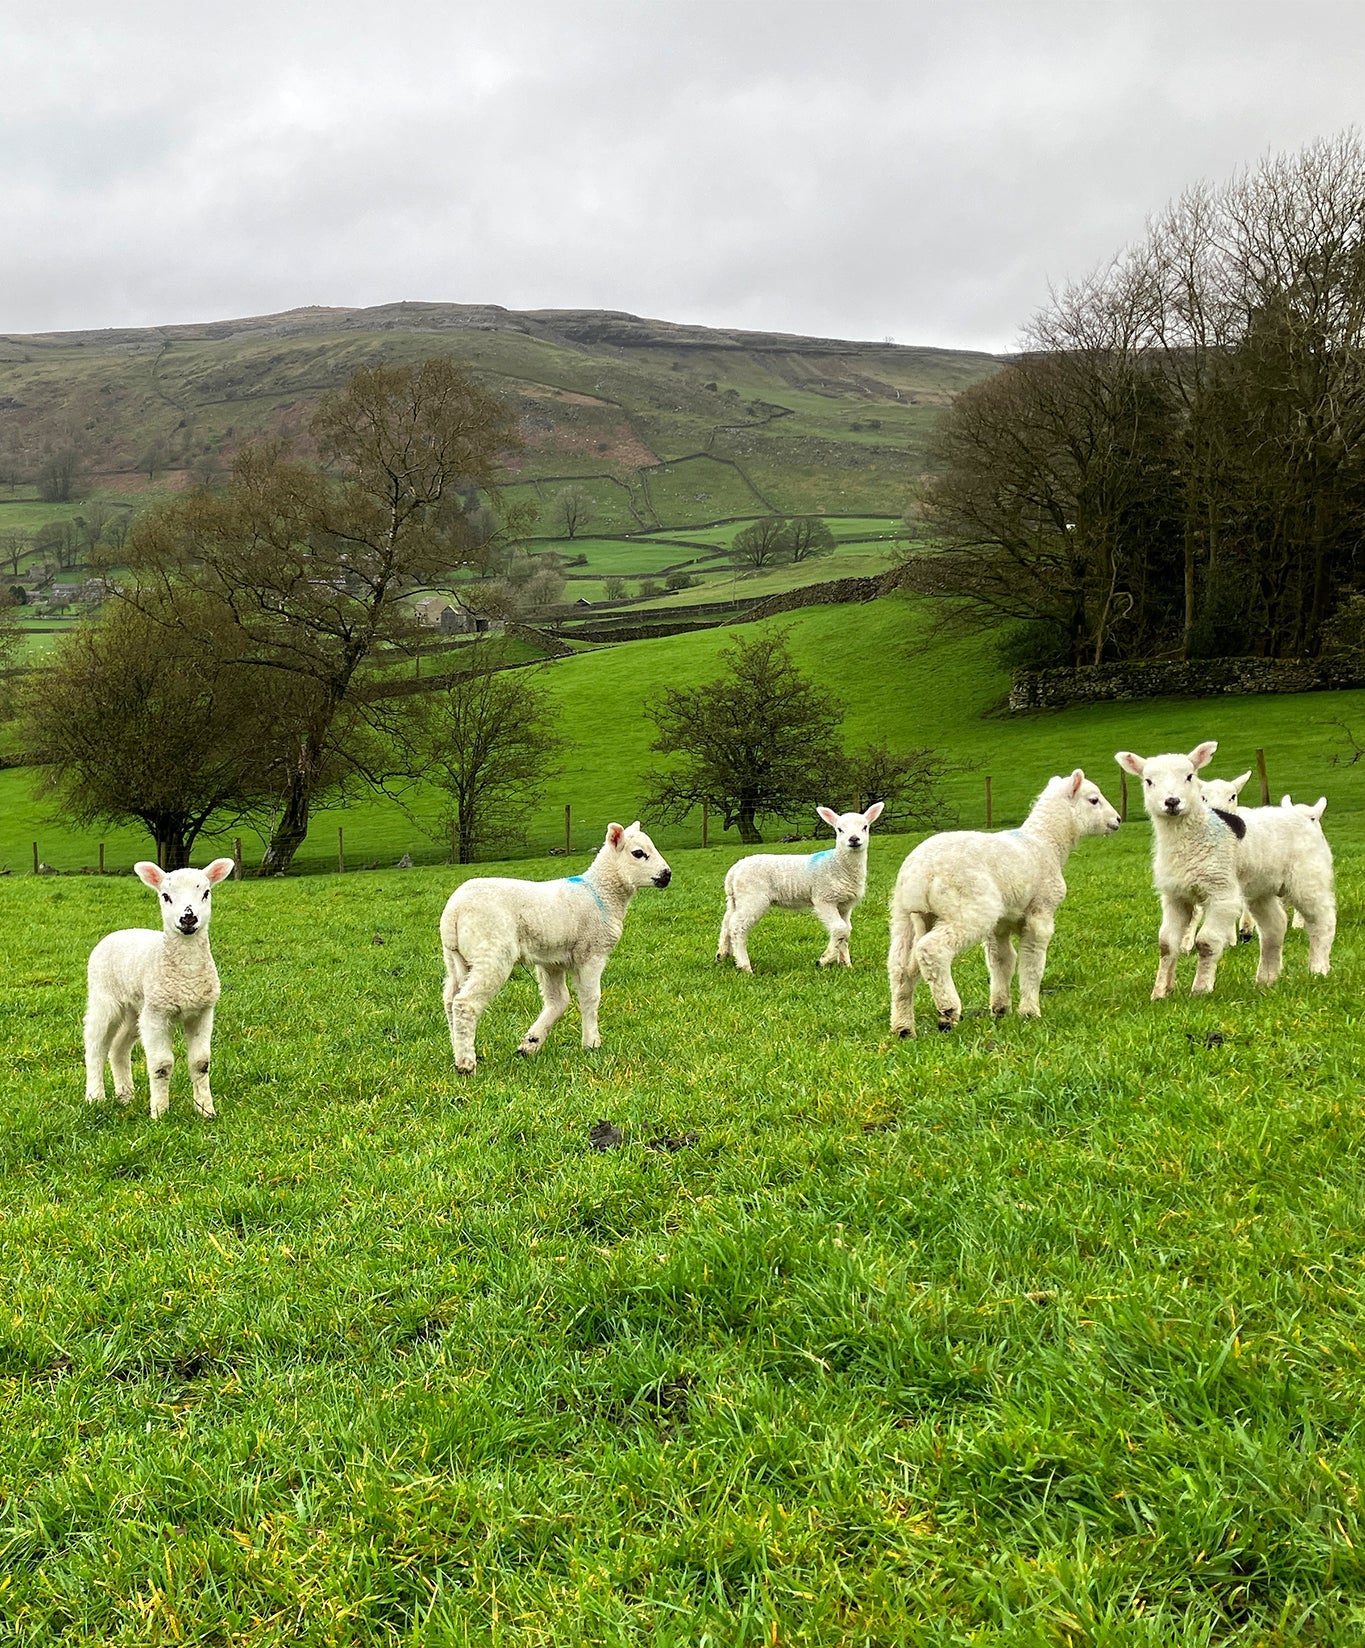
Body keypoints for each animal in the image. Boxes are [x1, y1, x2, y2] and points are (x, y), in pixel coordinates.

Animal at [84, 858, 237, 1119]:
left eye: (206, 893)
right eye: (165, 896)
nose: (188, 918)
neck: (186, 976)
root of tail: (118, 932)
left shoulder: (202, 1012)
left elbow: (200, 1063)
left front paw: (206, 1111)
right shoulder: (157, 1015)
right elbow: (161, 1065)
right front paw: (159, 1113)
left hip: (137, 1009)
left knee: (118, 1047)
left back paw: (125, 1096)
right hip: (104, 997)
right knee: (95, 1045)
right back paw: (95, 1097)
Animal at [440, 820, 671, 1074]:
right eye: (638, 853)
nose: (667, 874)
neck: (601, 893)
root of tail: (454, 912)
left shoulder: (552, 960)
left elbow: (558, 1001)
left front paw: (530, 1043)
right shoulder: (591, 951)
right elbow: (590, 997)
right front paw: (592, 1044)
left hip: (454, 958)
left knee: (450, 1000)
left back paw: (458, 1051)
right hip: (492, 951)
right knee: (465, 1003)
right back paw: (466, 1064)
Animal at [717, 803, 885, 973]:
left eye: (865, 827)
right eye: (839, 829)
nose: (854, 839)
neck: (838, 865)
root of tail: (735, 870)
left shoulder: (844, 905)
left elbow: (846, 932)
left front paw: (846, 964)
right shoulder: (823, 898)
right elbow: (840, 928)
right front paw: (824, 960)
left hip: (735, 899)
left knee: (727, 922)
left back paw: (722, 954)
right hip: (752, 896)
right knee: (737, 927)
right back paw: (745, 966)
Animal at [887, 770, 1119, 1037]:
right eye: (1094, 800)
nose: (1117, 819)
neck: (1046, 843)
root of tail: (920, 873)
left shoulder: (1000, 923)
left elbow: (1002, 960)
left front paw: (1000, 1009)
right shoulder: (1041, 911)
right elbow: (1032, 961)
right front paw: (1030, 1012)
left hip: (904, 915)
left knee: (900, 967)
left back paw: (903, 1027)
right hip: (969, 906)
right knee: (931, 949)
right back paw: (947, 1011)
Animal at [1115, 740, 1250, 998]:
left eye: (1189, 776)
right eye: (1148, 780)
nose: (1172, 801)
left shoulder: (1221, 888)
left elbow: (1206, 941)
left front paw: (1201, 988)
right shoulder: (1174, 893)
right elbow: (1167, 944)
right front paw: (1161, 991)